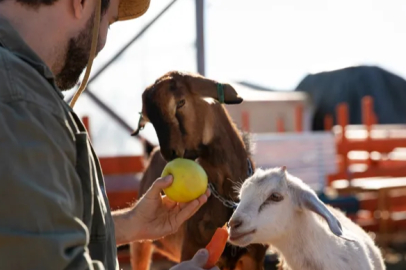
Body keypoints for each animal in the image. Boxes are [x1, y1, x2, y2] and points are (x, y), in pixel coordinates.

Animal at [130, 70, 268, 268]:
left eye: (181, 102)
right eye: (150, 120)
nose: (170, 154)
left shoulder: (253, 258)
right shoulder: (191, 251)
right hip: (140, 245)